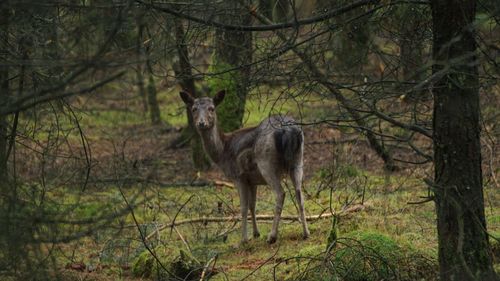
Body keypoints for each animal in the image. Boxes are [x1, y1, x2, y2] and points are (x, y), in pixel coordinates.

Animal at [180, 89, 308, 243]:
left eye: (212, 108)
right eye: (194, 109)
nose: (201, 123)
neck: (223, 153)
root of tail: (288, 130)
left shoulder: (238, 176)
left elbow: (243, 207)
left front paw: (244, 239)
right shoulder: (253, 180)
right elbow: (253, 205)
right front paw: (256, 233)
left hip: (266, 163)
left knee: (280, 193)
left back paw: (272, 236)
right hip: (298, 160)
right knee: (299, 193)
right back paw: (306, 233)